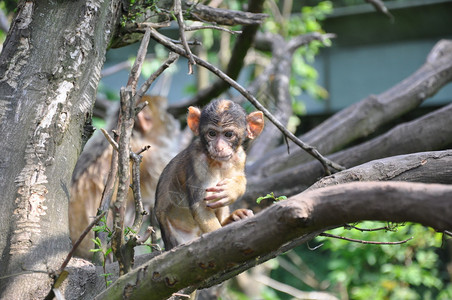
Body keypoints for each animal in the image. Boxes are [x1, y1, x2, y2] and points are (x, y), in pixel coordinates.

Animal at [154, 98, 264, 248]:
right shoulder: (198, 162)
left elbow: (240, 178)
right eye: (212, 133)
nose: (219, 147)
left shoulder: (240, 156)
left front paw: (233, 189)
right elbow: (200, 205)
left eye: (228, 134)